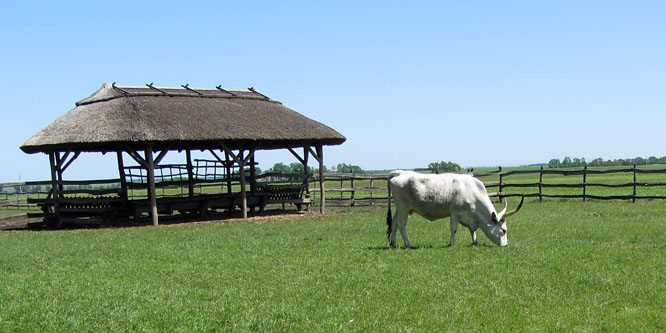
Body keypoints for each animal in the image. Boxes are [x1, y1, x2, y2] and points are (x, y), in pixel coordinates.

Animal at [386, 171, 520, 246]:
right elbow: (454, 229)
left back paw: (394, 243)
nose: (505, 245)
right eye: (504, 230)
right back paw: (408, 244)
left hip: (400, 209)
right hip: (403, 208)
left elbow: (473, 230)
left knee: (394, 223)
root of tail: (398, 172)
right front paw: (453, 243)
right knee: (401, 225)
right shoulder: (455, 213)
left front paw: (475, 242)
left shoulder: (470, 217)